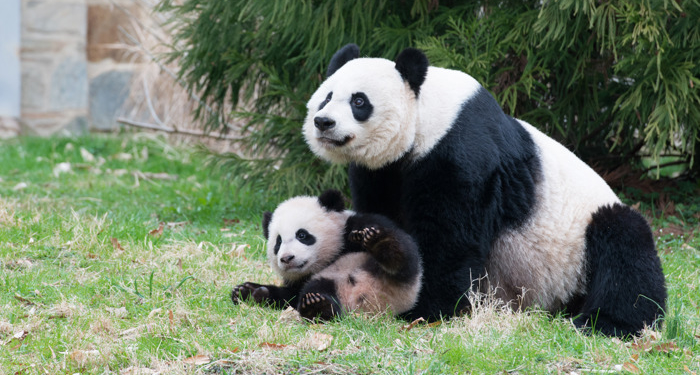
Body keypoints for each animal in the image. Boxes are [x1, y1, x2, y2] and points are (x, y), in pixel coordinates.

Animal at [232, 189, 424, 322]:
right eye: (278, 243)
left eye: (302, 235)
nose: (287, 258)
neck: (331, 256)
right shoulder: (302, 278)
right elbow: (292, 295)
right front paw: (247, 291)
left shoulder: (356, 225)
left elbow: (407, 244)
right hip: (330, 280)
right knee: (316, 289)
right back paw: (317, 305)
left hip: (399, 280)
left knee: (403, 264)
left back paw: (383, 245)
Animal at [300, 44, 668, 338]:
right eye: (326, 97)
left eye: (359, 101)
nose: (324, 122)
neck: (427, 115)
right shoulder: (382, 171)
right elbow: (383, 212)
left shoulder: (461, 150)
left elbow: (450, 237)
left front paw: (426, 308)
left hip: (580, 242)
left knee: (625, 250)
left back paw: (606, 323)